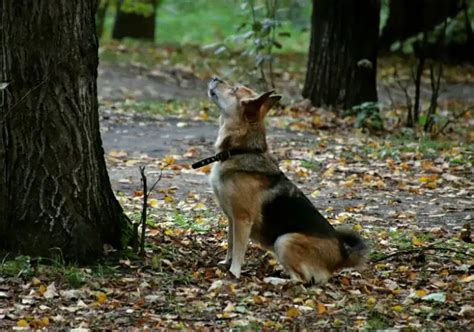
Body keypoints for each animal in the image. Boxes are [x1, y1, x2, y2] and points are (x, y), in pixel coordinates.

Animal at [193, 77, 370, 282]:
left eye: (235, 89)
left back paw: (275, 280)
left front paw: (233, 273)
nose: (215, 78)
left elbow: (239, 250)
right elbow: (230, 245)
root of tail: (341, 257)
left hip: (284, 240)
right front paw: (225, 264)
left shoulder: (242, 219)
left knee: (302, 280)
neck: (241, 150)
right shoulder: (232, 218)